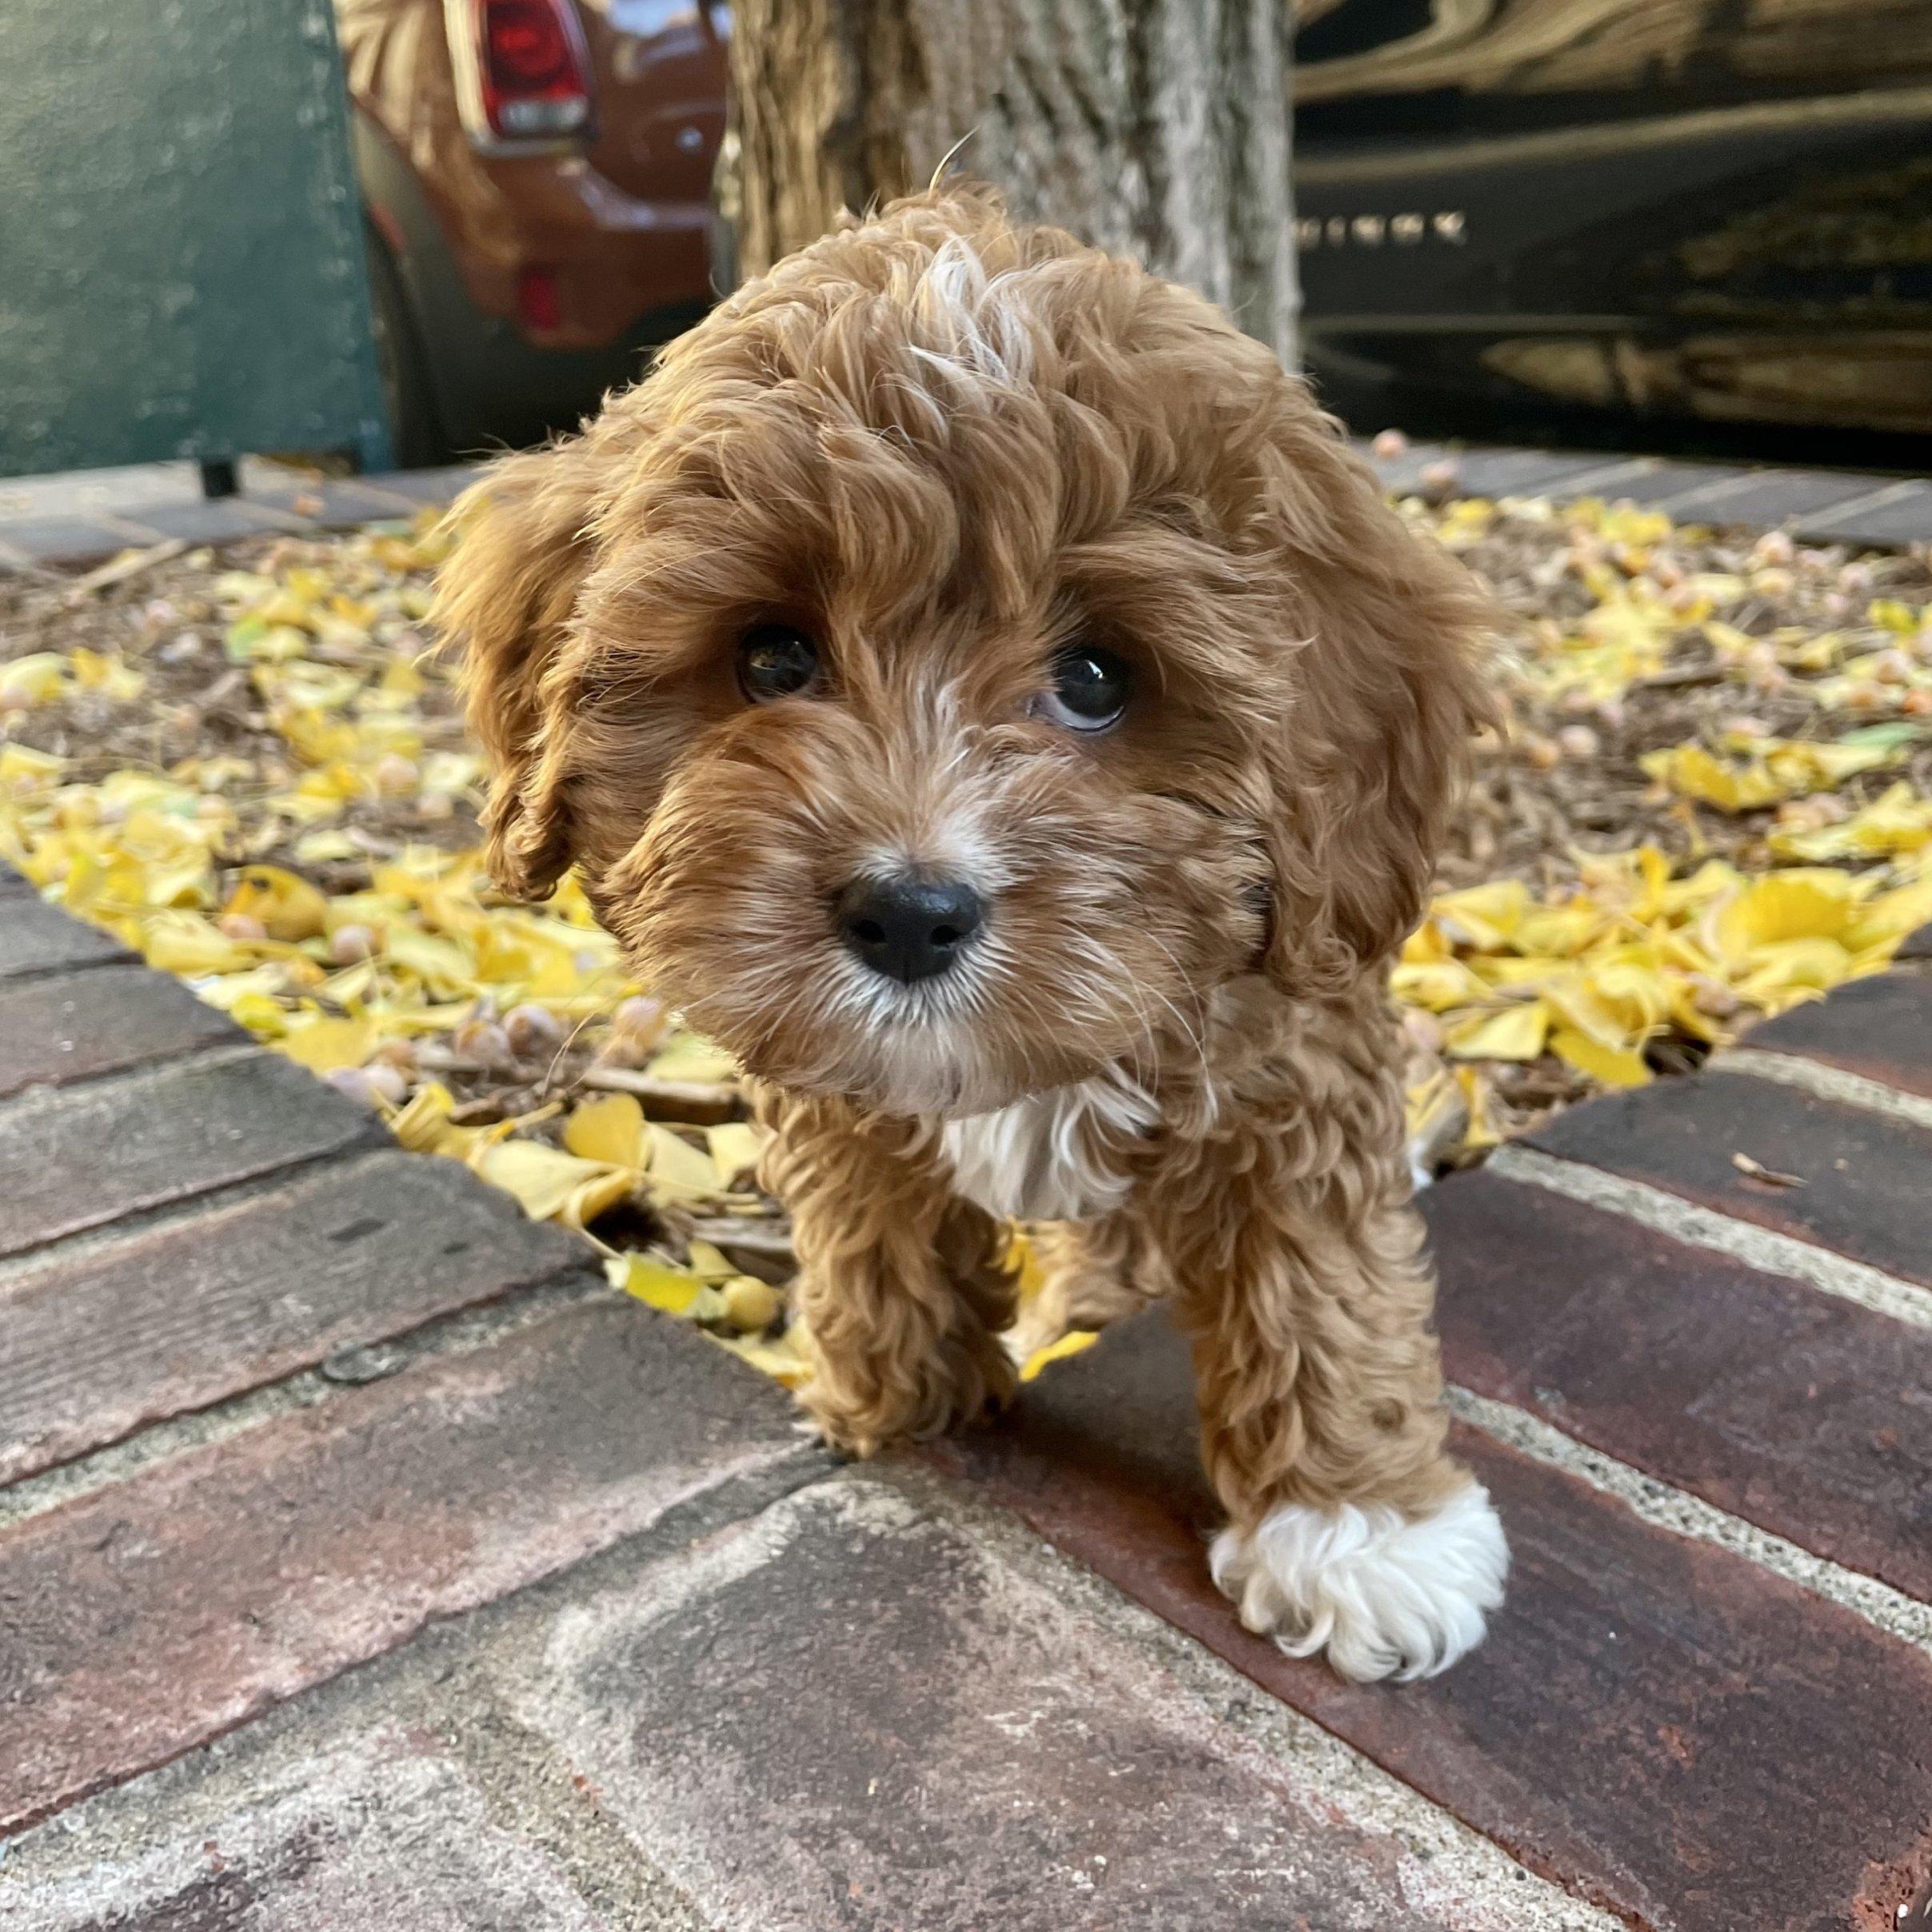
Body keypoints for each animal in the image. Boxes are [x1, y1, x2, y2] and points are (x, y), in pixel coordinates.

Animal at [438, 188, 1507, 1684]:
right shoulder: (838, 1100)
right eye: (772, 658)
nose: (909, 911)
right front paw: (896, 1406)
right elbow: (871, 1237)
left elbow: (1317, 1282)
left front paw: (1357, 1533)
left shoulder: (1292, 1063)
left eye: (1099, 677)